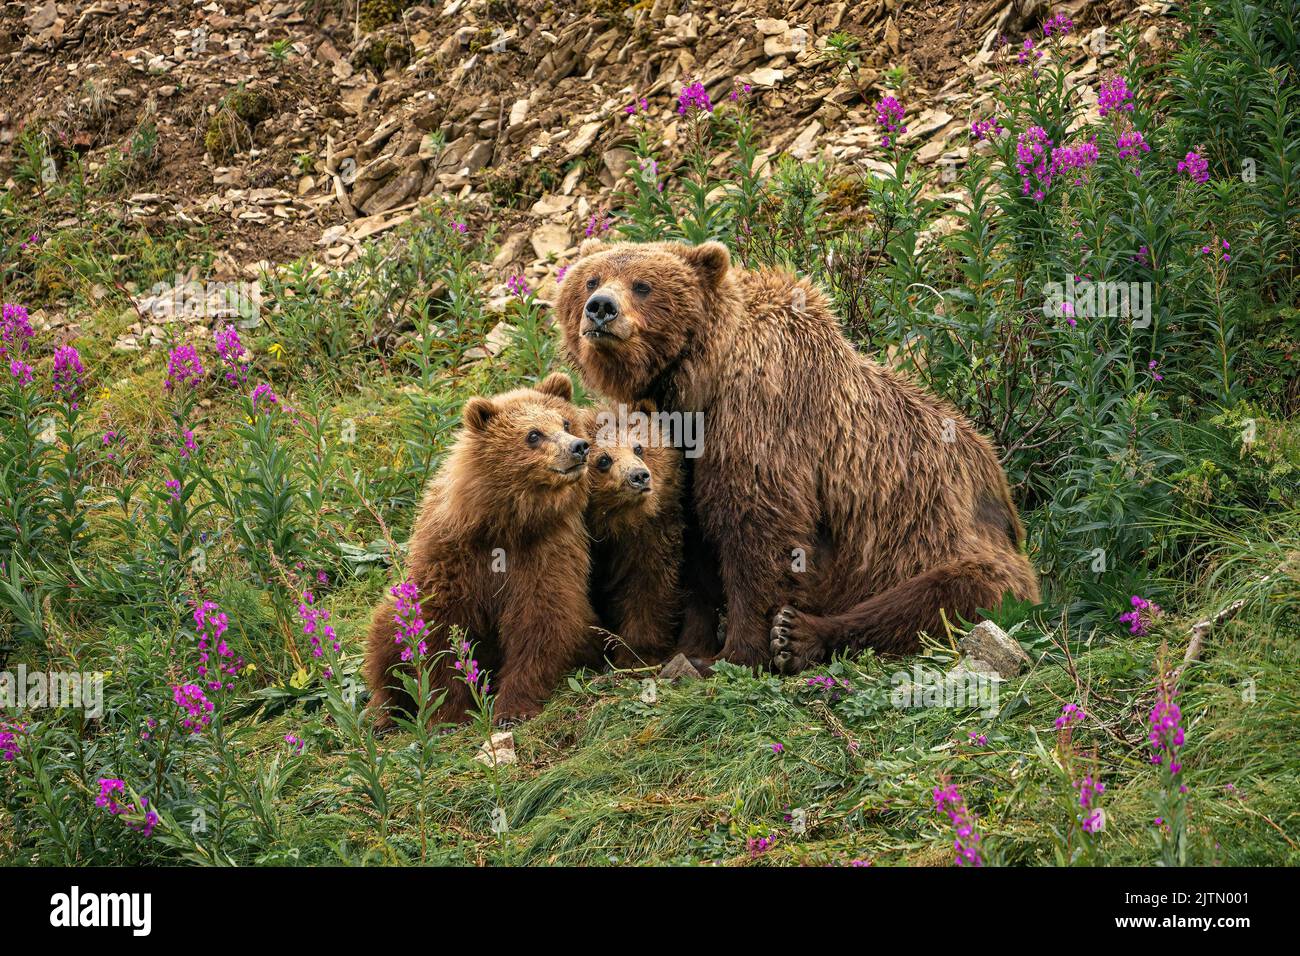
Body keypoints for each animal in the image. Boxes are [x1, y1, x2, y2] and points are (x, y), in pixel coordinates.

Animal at [363, 372, 600, 727]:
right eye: (533, 434)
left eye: (566, 422)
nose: (577, 447)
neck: (505, 524)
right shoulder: (451, 558)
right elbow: (439, 632)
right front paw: (450, 713)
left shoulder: (546, 553)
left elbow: (541, 621)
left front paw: (512, 708)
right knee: (384, 638)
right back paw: (382, 713)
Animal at [584, 399, 685, 668]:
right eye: (604, 460)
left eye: (639, 447)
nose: (639, 476)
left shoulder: (651, 538)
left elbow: (648, 589)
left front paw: (636, 654)